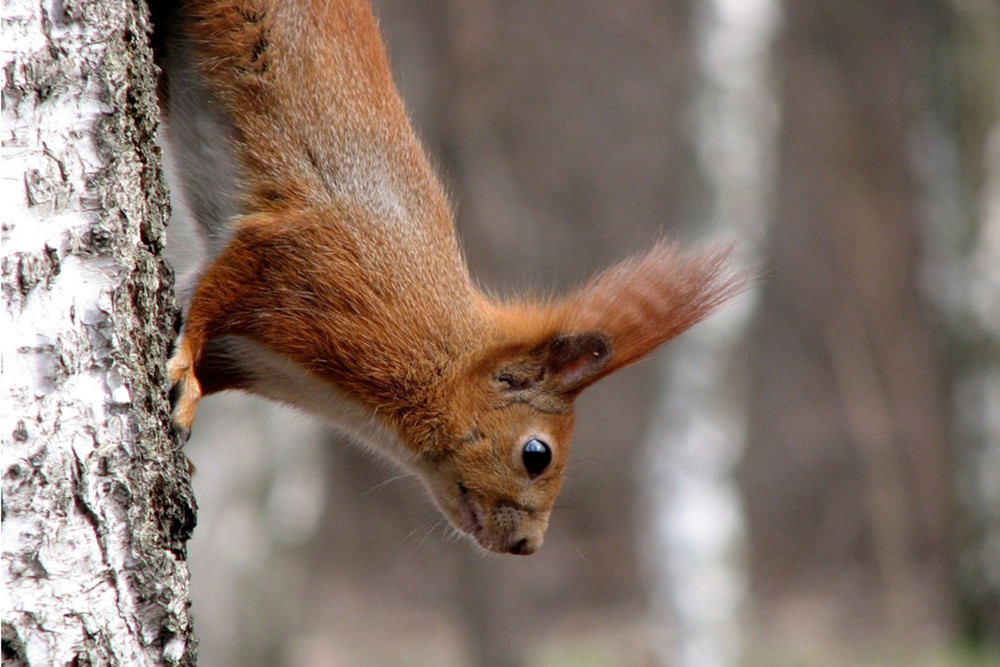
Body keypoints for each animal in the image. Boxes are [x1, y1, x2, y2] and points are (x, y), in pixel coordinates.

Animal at [152, 0, 748, 556]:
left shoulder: (248, 352)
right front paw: (185, 375)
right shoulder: (309, 263)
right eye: (537, 455)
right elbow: (216, 294)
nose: (527, 545)